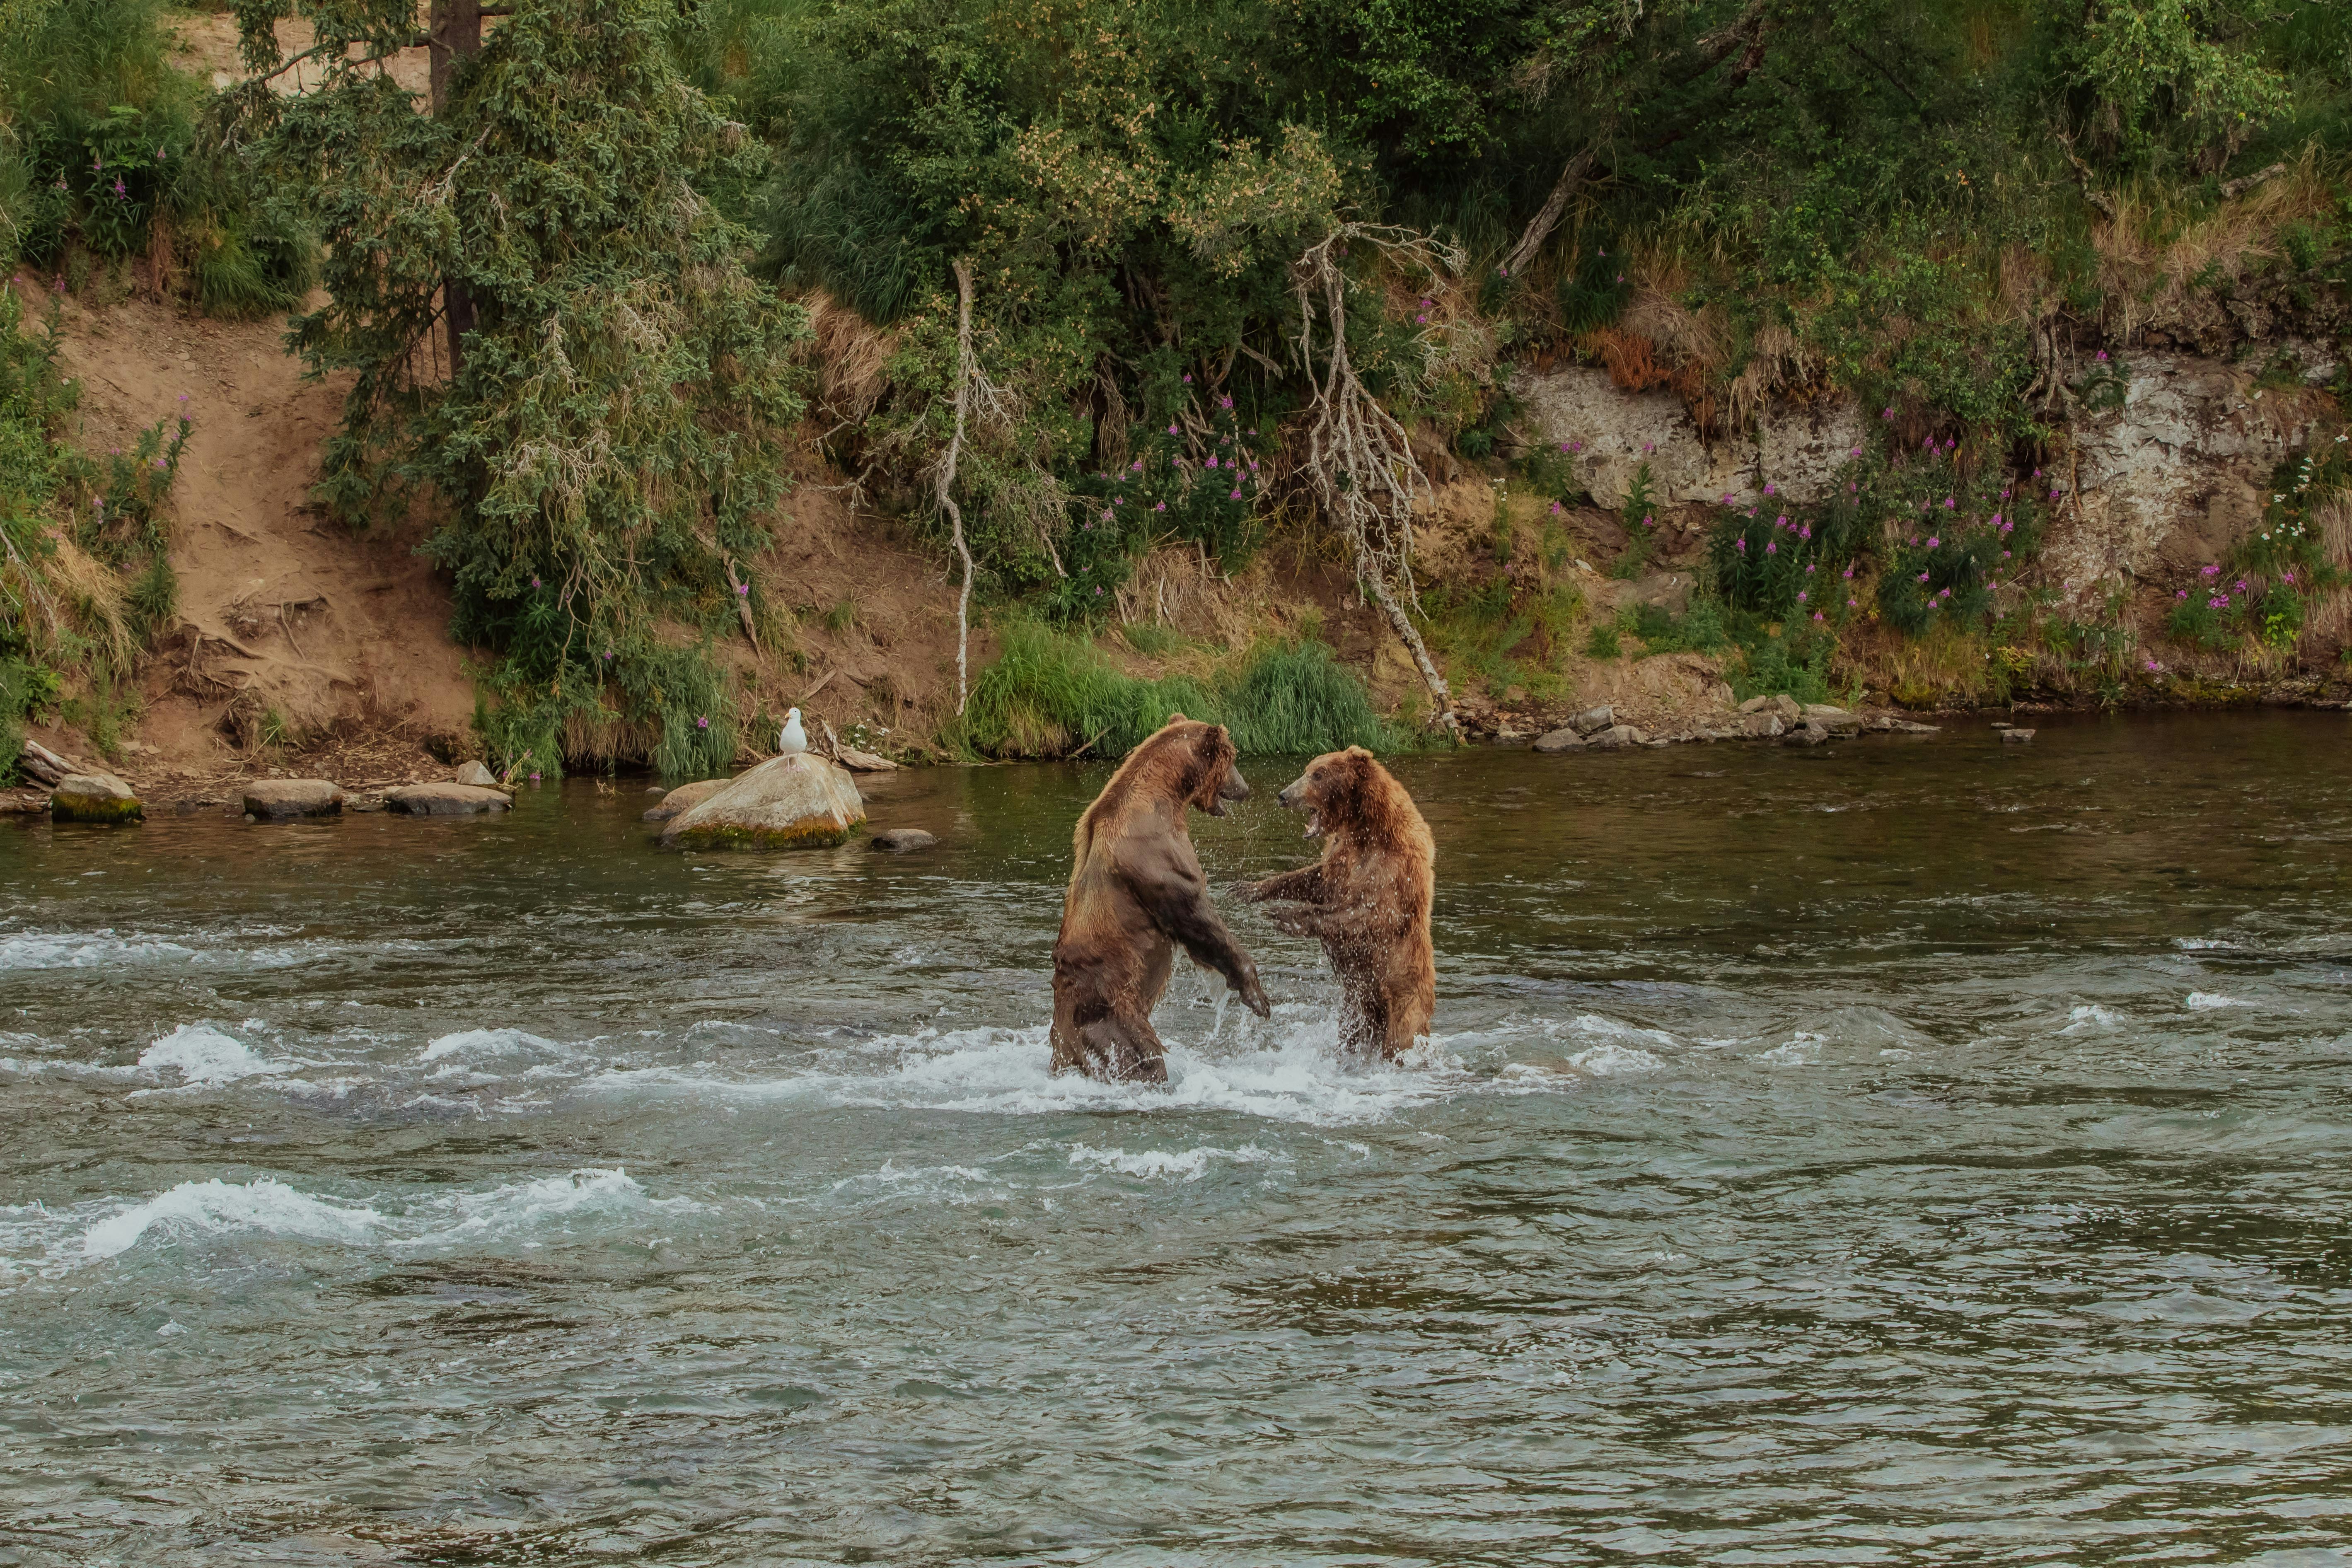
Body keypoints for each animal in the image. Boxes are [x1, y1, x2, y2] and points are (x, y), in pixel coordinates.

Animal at [1050, 714, 1271, 1082]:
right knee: (1143, 1058)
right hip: (1112, 1018)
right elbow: (1198, 919)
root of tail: (1066, 1031)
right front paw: (1258, 998)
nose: (1245, 788)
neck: (1166, 796)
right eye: (1233, 757)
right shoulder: (1159, 860)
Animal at [1228, 746, 1434, 1060]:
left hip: (1405, 1000)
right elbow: (1313, 880)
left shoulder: (1395, 869)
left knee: (1400, 1038)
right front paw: (1246, 889)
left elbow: (1371, 914)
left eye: (1318, 775)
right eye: (1307, 768)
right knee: (1350, 1030)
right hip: (1356, 1005)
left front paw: (1287, 916)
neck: (1364, 827)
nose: (1284, 795)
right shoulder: (1339, 857)